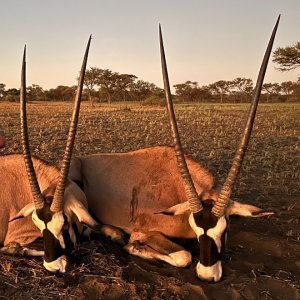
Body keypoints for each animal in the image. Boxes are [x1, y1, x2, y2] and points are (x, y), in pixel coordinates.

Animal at [69, 17, 280, 282]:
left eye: (225, 229)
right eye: (197, 229)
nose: (207, 275)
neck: (176, 186)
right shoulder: (146, 230)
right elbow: (183, 255)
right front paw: (134, 247)